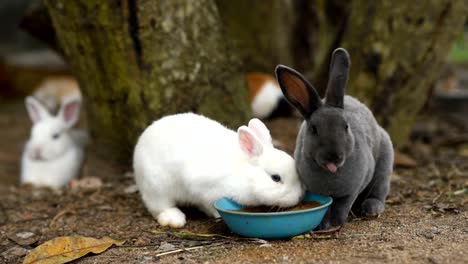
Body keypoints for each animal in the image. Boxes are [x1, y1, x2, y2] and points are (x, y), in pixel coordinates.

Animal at [132, 112, 304, 228]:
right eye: (276, 178)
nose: (298, 197)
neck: (246, 175)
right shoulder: (204, 189)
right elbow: (209, 204)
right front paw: (216, 215)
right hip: (157, 186)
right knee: (158, 205)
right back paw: (174, 218)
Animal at [276, 48, 394, 229]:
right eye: (313, 129)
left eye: (346, 126)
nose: (334, 156)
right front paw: (323, 225)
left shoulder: (351, 191)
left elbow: (341, 206)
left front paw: (335, 223)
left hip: (384, 164)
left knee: (379, 188)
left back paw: (371, 208)